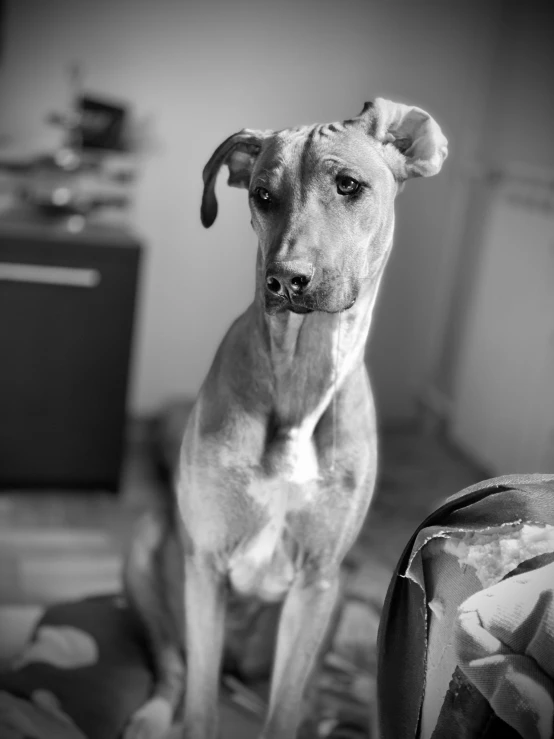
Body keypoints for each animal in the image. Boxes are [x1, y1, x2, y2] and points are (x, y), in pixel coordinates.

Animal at [121, 98, 444, 739]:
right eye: (263, 195)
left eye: (349, 186)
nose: (286, 279)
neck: (301, 374)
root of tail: (240, 667)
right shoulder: (206, 566)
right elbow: (198, 706)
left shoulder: (317, 581)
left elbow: (286, 708)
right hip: (146, 551)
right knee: (174, 668)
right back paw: (150, 716)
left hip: (337, 600)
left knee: (329, 697)